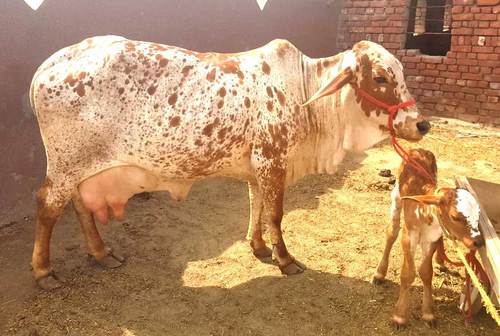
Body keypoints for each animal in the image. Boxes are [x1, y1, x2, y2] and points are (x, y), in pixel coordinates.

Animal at [30, 36, 430, 288]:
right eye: (380, 77)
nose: (421, 124)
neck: (305, 93)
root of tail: (51, 63)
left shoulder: (258, 169)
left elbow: (257, 206)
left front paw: (259, 246)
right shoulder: (272, 161)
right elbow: (275, 214)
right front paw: (286, 259)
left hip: (82, 168)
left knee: (80, 206)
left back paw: (101, 253)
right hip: (65, 164)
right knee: (48, 207)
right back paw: (44, 272)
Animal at [376, 149, 484, 328]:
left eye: (479, 216)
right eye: (455, 216)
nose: (479, 241)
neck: (425, 212)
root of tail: (418, 150)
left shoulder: (432, 238)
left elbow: (426, 272)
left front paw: (428, 313)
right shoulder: (408, 235)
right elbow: (408, 273)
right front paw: (400, 316)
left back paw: (440, 260)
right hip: (396, 196)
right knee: (391, 232)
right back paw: (379, 273)